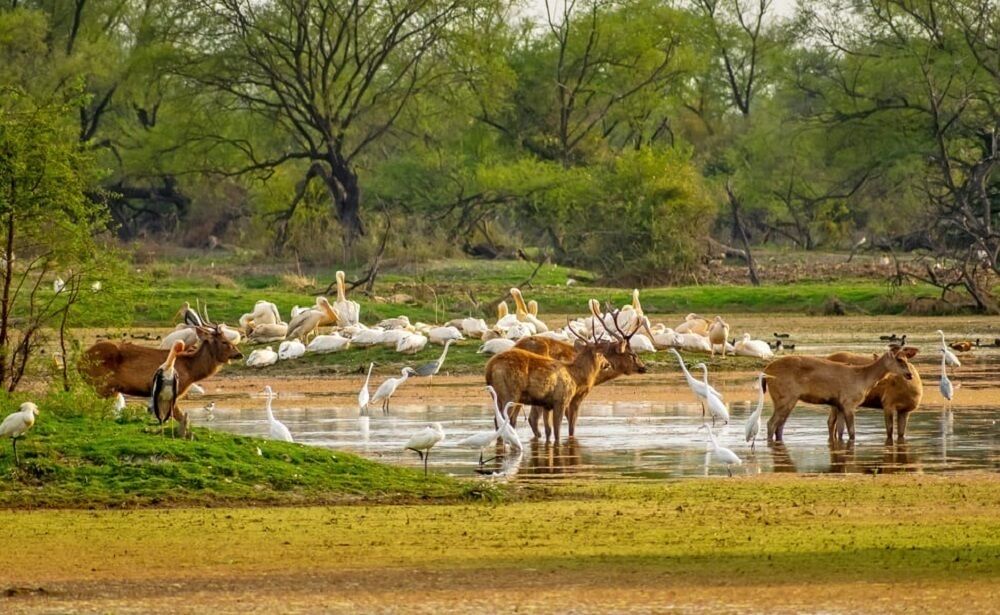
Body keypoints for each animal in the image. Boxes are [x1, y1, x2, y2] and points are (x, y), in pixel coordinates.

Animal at [764, 346, 916, 442]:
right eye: (899, 359)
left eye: (907, 359)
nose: (909, 374)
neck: (864, 379)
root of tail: (765, 372)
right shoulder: (849, 402)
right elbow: (852, 432)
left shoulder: (839, 404)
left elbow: (841, 431)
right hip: (785, 396)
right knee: (771, 423)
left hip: (788, 399)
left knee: (779, 426)